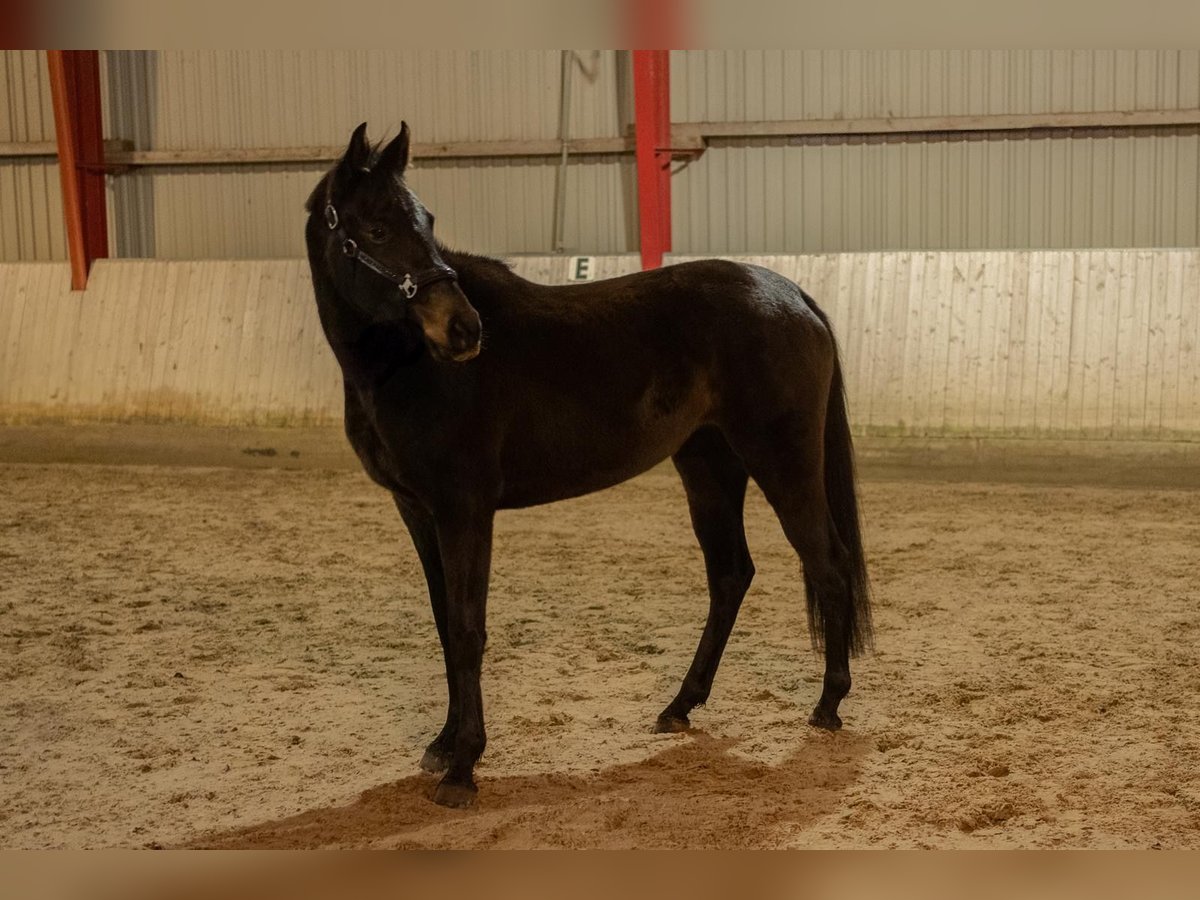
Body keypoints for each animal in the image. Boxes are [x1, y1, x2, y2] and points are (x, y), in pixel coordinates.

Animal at [304, 121, 873, 811]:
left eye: (426, 220)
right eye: (377, 228)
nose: (465, 330)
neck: (405, 366)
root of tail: (792, 295)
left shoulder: (464, 509)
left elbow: (467, 628)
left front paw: (463, 768)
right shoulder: (417, 511)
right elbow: (443, 625)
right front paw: (442, 745)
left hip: (782, 462)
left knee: (828, 565)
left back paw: (828, 705)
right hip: (709, 467)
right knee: (731, 575)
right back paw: (679, 707)